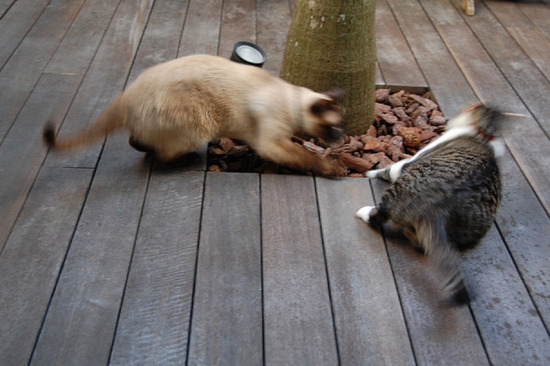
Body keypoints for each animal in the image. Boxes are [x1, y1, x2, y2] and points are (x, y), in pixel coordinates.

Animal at [45, 53, 344, 176]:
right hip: (198, 126)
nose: (341, 139)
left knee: (136, 141)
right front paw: (332, 168)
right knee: (162, 155)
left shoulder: (260, 137)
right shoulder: (271, 142)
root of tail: (128, 95)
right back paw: (189, 159)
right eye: (333, 128)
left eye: (341, 126)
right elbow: (304, 156)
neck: (290, 99)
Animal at [358, 104, 508, 304]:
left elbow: (388, 169)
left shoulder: (410, 161)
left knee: (379, 215)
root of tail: (438, 204)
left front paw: (369, 172)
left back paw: (365, 212)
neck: (484, 134)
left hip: (401, 188)